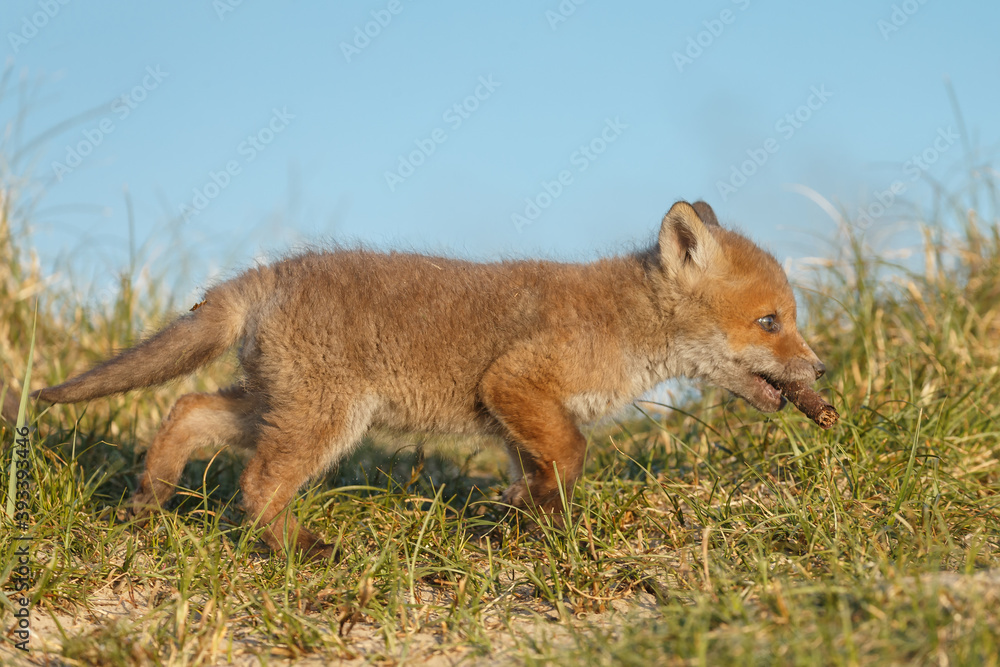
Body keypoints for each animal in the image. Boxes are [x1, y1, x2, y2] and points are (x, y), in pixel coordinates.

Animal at [28, 200, 824, 558]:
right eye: (770, 322)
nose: (820, 371)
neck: (628, 325)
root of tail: (269, 274)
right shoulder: (517, 382)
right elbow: (570, 456)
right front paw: (551, 520)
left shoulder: (513, 412)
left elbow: (538, 467)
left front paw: (525, 515)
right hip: (321, 420)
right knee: (254, 486)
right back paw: (303, 548)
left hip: (273, 407)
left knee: (189, 410)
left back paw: (146, 501)